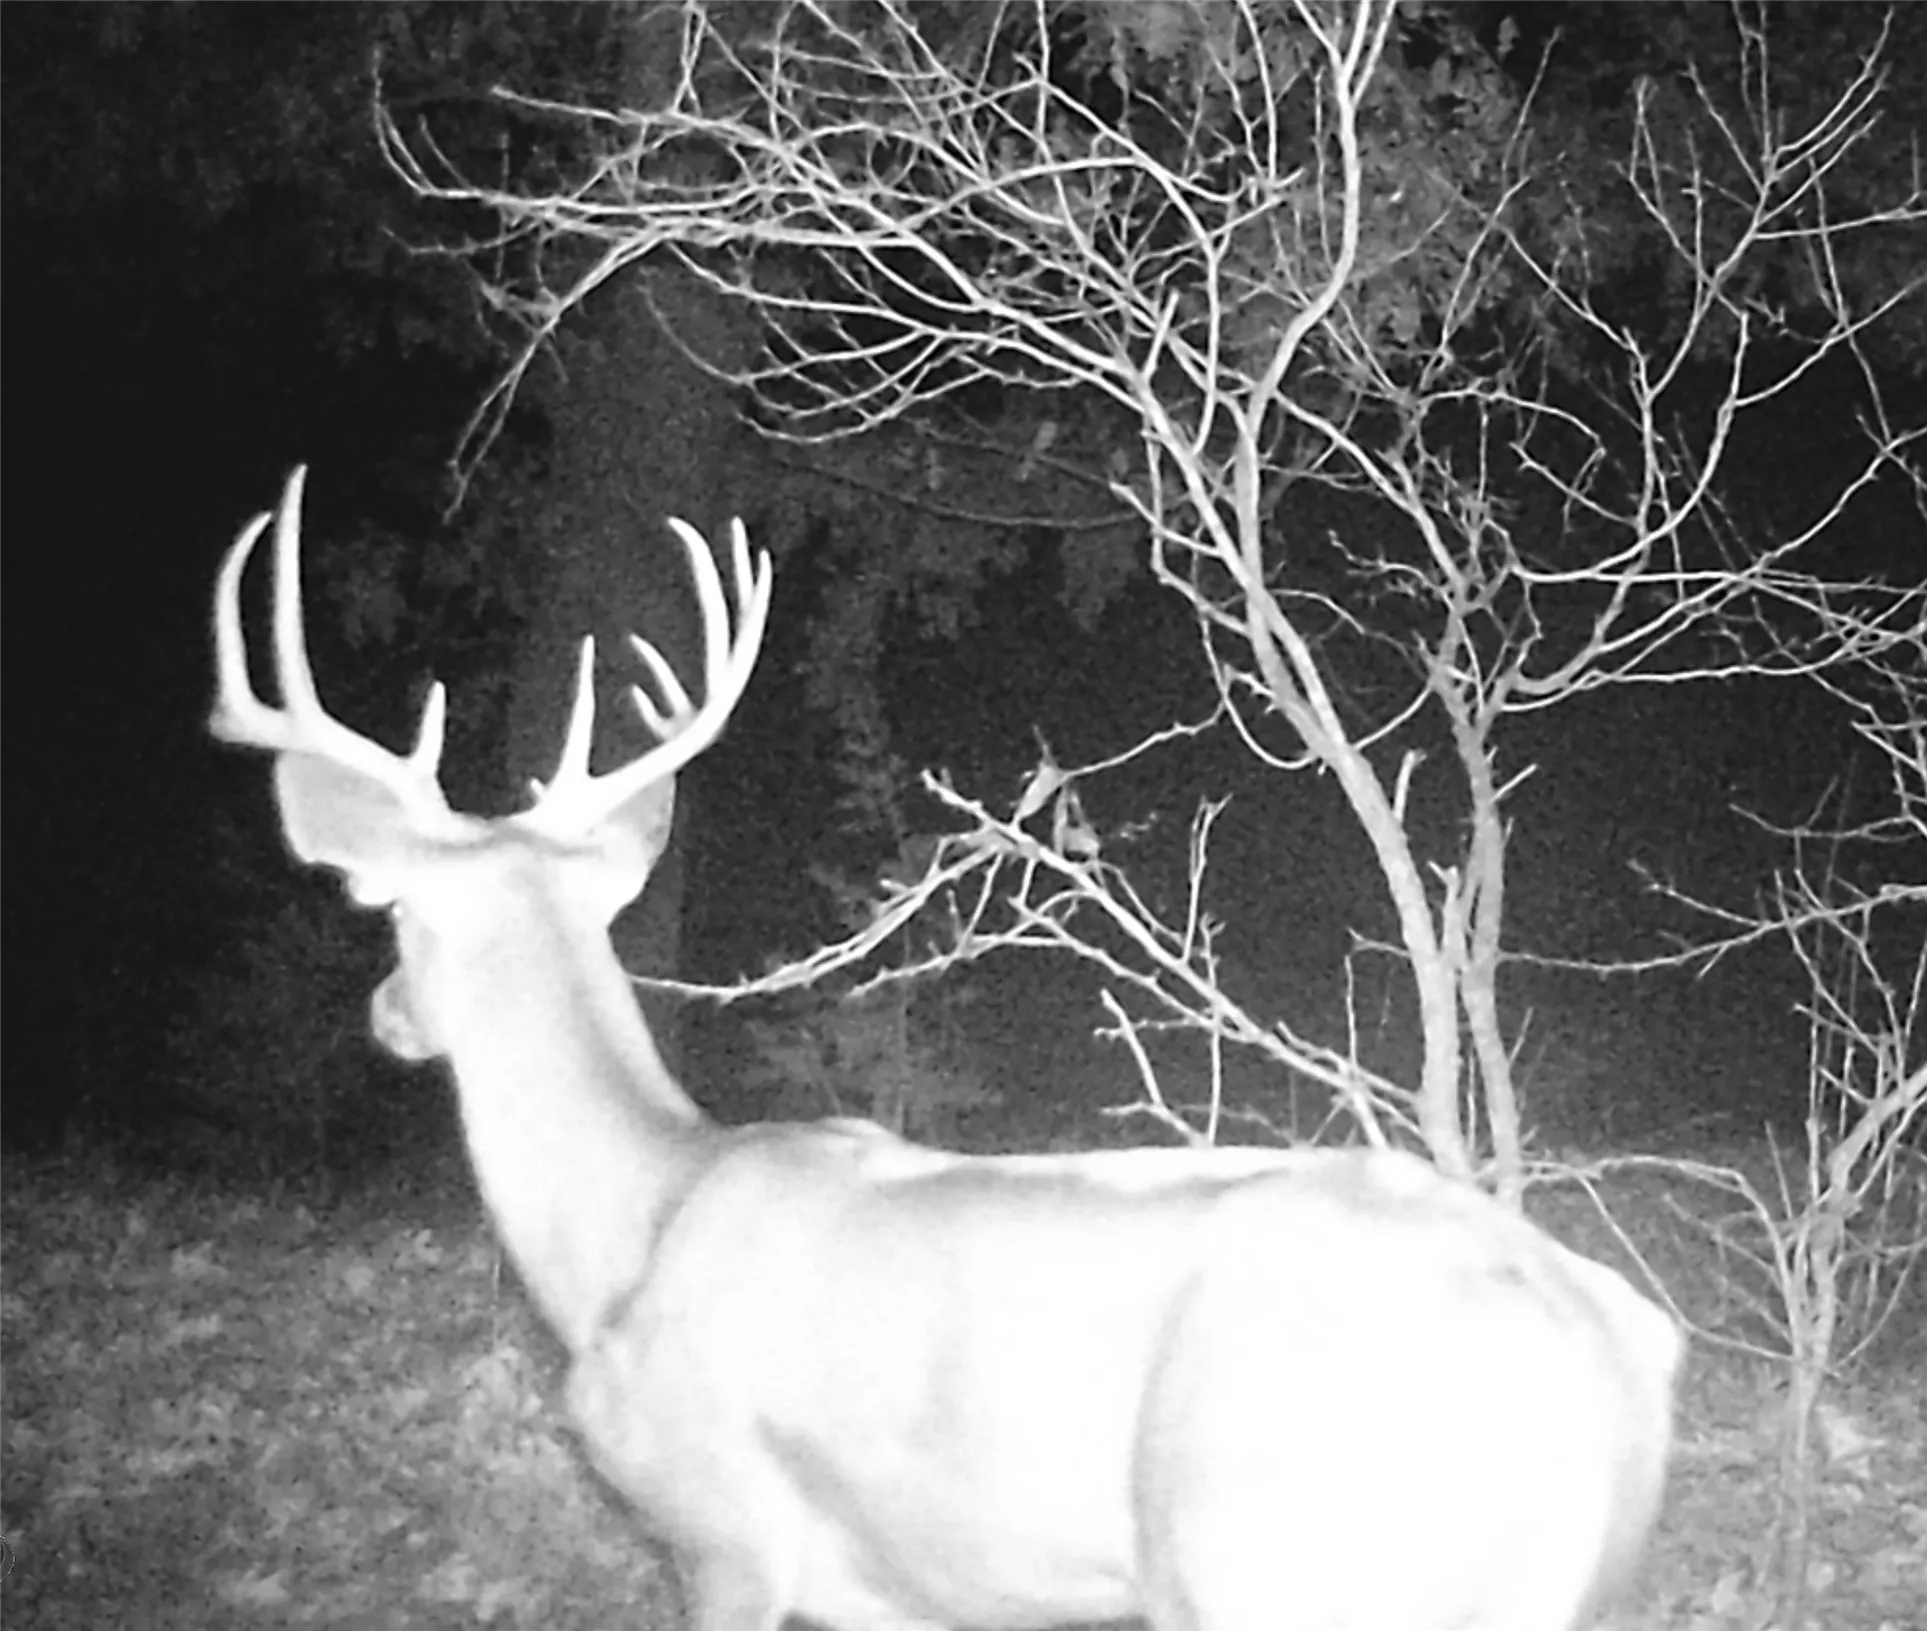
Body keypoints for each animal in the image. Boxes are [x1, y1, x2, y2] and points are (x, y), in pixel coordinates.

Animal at [213, 467, 1681, 1631]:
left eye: (388, 914)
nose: (384, 1012)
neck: (629, 1232)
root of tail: (1605, 1352)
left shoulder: (723, 1524)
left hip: (1262, 1563)